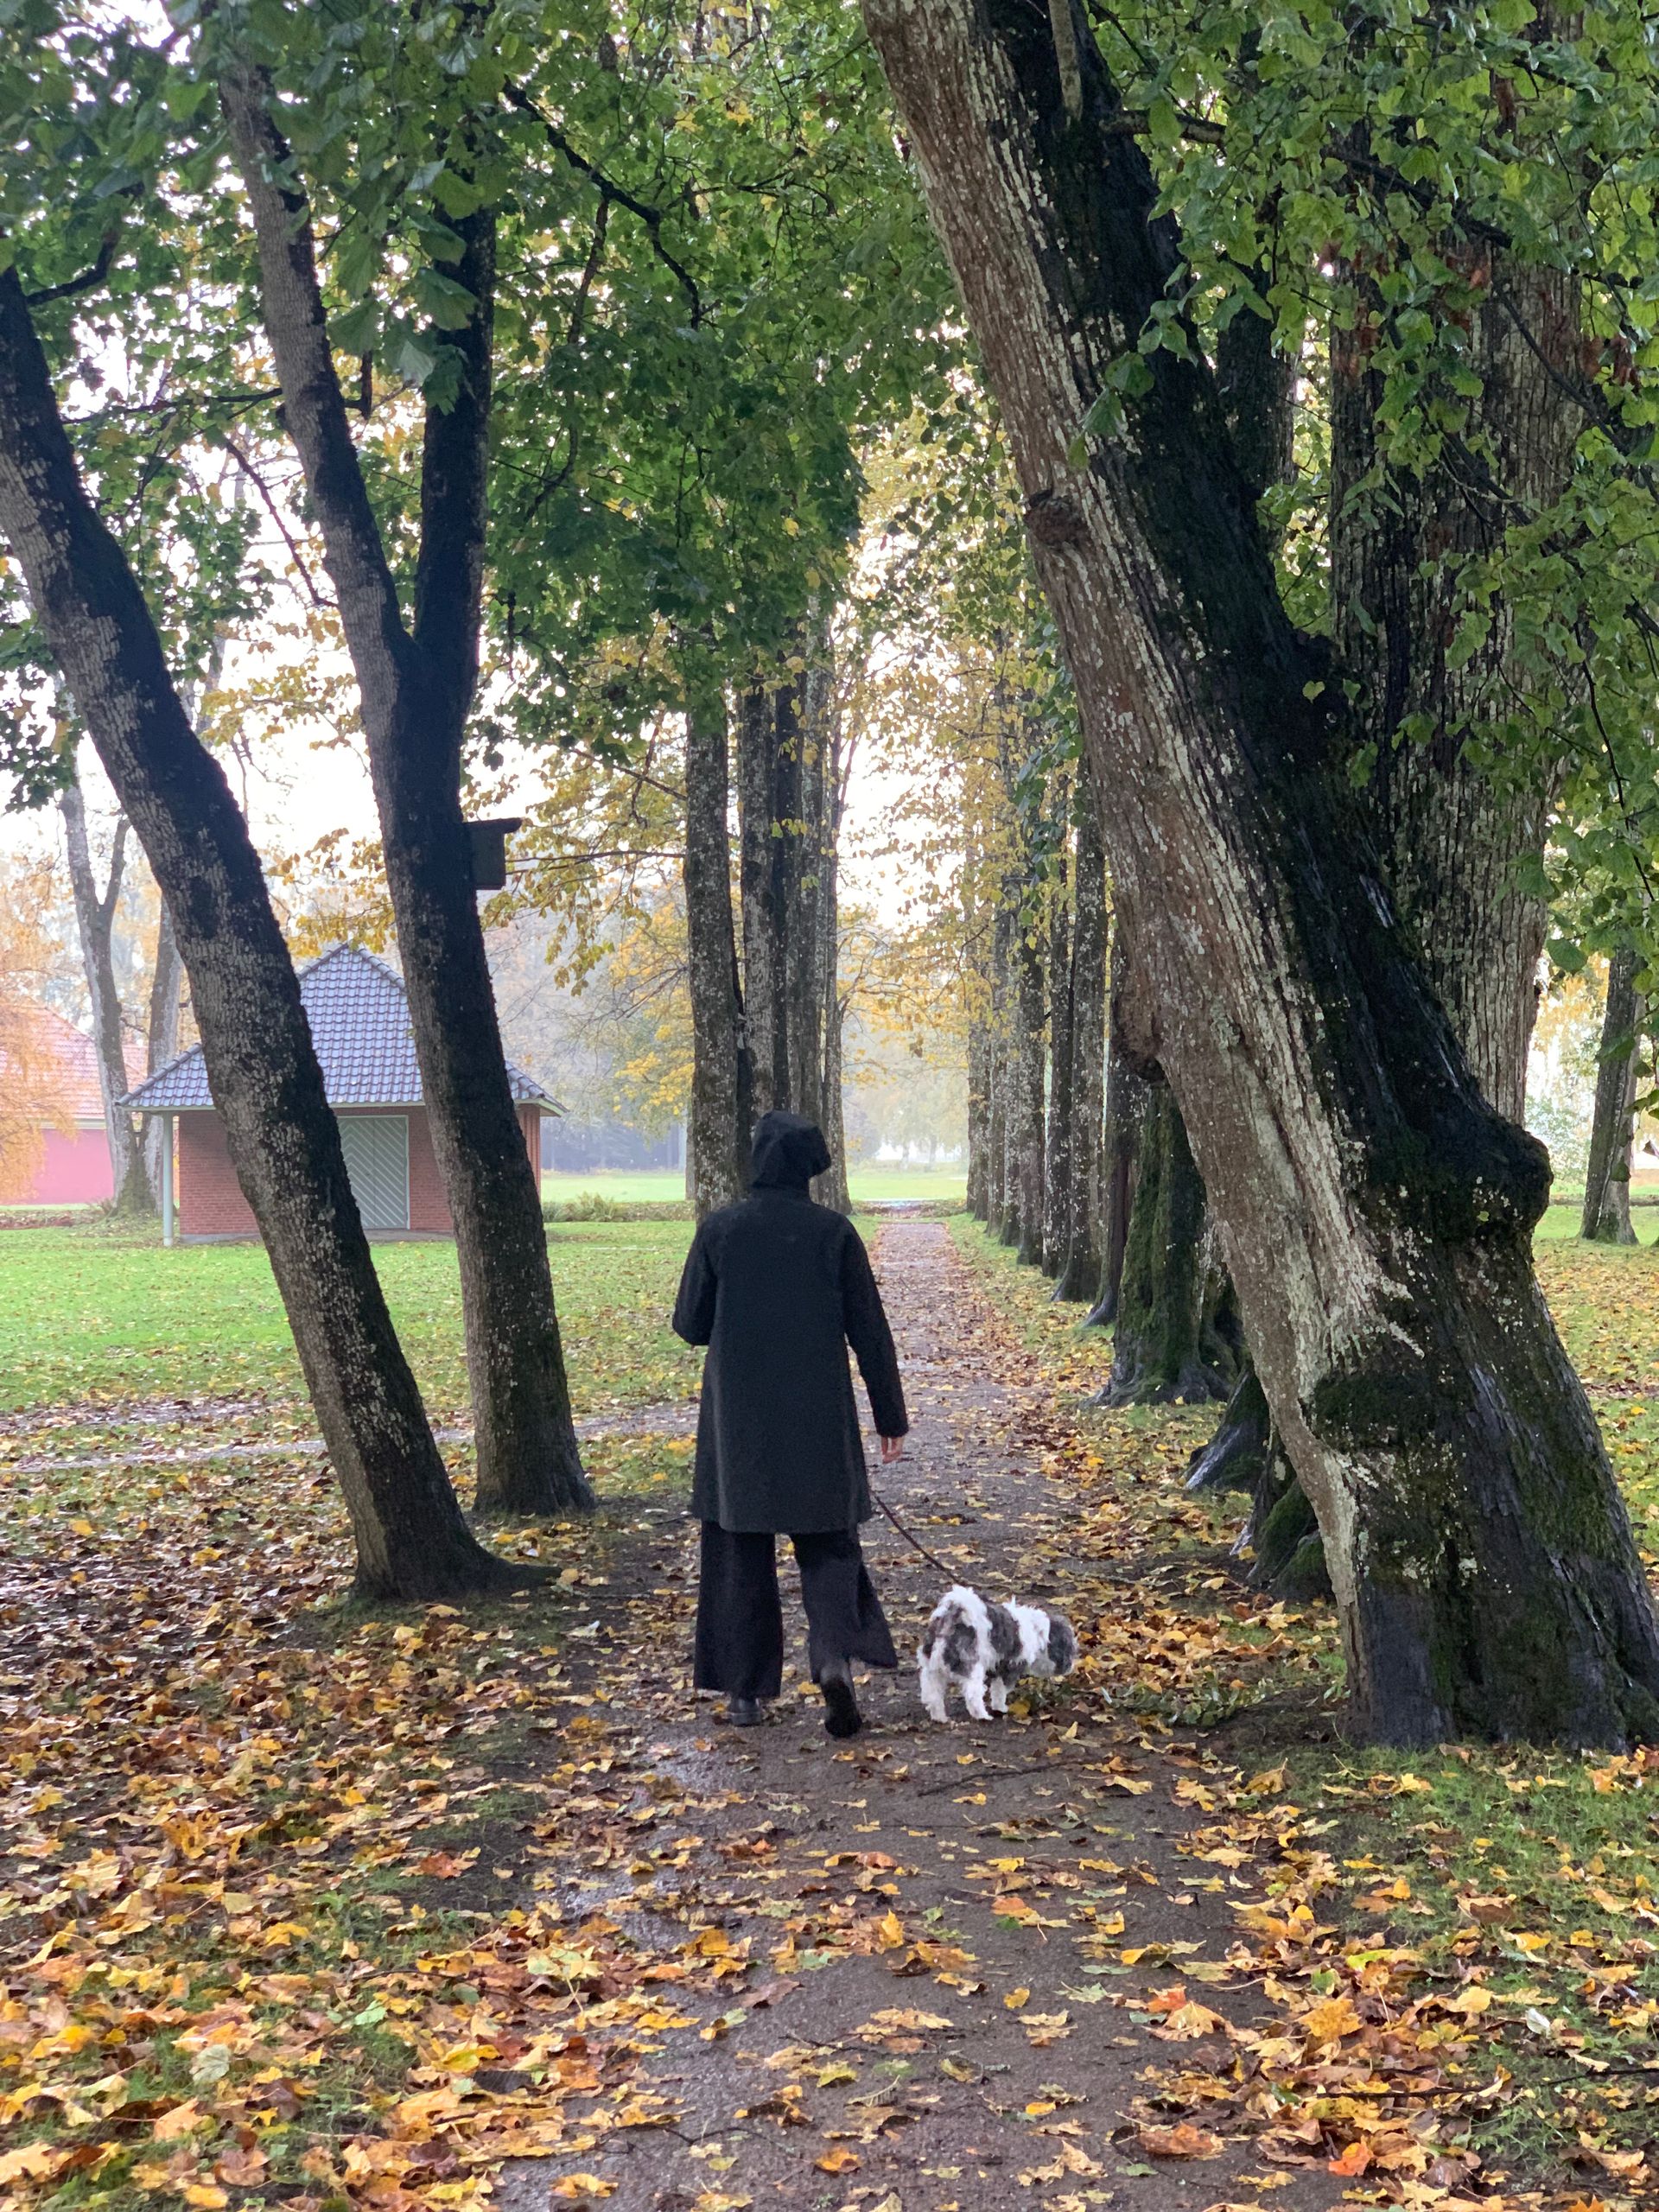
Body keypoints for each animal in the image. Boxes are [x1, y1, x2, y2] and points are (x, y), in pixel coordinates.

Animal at [918, 1584, 1078, 1722]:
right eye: (1070, 1651)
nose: (1071, 1667)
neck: (1036, 1630)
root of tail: (951, 1621)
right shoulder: (1009, 1666)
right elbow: (1000, 1691)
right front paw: (1000, 1708)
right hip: (972, 1669)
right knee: (973, 1695)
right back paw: (982, 1716)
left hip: (933, 1670)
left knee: (933, 1695)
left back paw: (939, 1717)